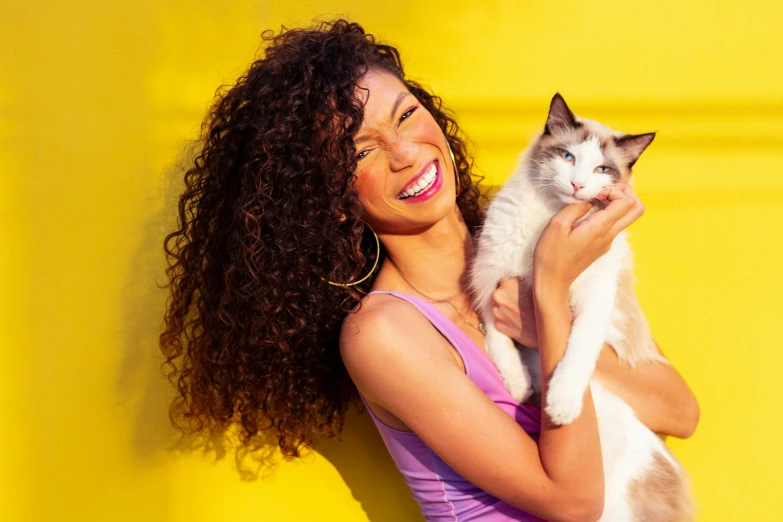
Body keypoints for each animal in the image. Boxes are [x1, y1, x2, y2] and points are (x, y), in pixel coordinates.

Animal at [468, 93, 696, 520]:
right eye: (567, 156)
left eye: (602, 169)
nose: (577, 184)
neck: (551, 222)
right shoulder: (491, 282)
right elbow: (500, 341)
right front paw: (518, 384)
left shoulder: (594, 303)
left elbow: (575, 353)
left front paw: (561, 406)